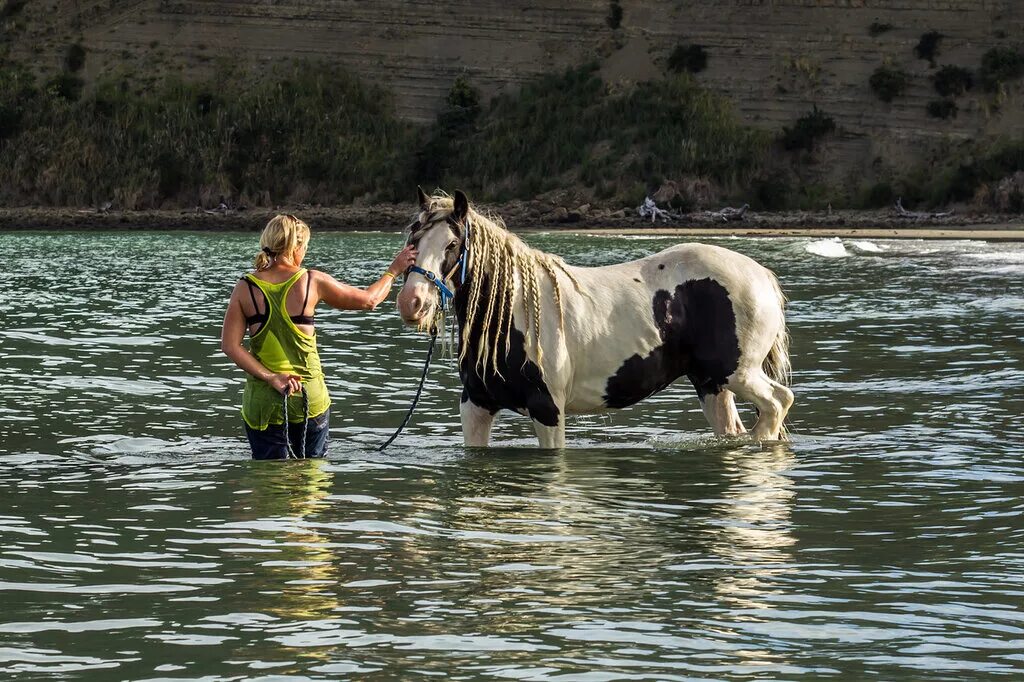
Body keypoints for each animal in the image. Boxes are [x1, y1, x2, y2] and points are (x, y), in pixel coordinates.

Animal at [395, 188, 794, 448]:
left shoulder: (548, 411)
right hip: (712, 384)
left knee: (778, 402)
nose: (412, 302)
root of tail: (761, 275)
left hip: (738, 373)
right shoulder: (476, 407)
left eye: (452, 244)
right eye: (413, 238)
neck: (515, 312)